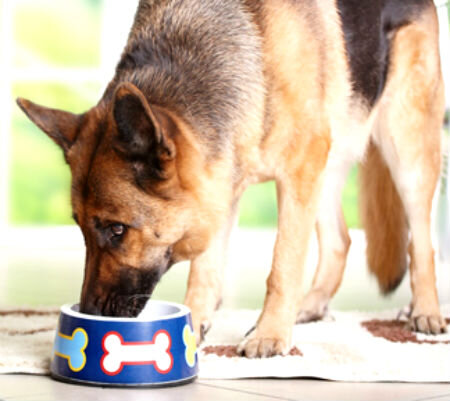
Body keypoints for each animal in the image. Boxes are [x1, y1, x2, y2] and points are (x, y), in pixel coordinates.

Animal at [17, 0, 446, 356]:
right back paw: (310, 305)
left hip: (405, 150)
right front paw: (193, 325)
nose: (89, 311)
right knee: (340, 240)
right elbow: (205, 270)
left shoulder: (296, 173)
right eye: (81, 229)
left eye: (117, 229)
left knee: (422, 242)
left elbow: (283, 263)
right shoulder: (219, 184)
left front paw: (270, 334)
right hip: (328, 167)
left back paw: (425, 311)